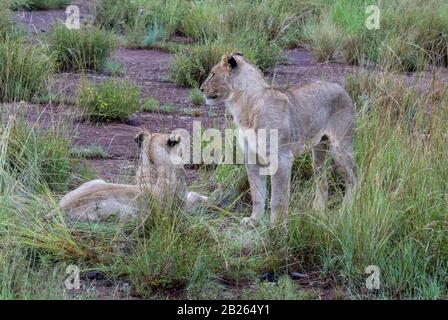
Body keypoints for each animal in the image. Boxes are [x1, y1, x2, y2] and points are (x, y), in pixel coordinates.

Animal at [49, 131, 208, 221]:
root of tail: (59, 209)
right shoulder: (181, 210)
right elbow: (194, 195)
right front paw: (206, 198)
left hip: (98, 181)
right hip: (128, 213)